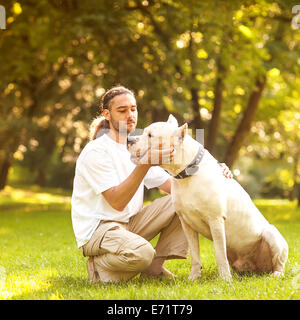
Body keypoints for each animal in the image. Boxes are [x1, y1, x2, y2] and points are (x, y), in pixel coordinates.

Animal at [128, 114, 288, 280]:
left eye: (150, 135)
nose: (129, 140)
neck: (186, 174)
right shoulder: (187, 224)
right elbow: (195, 253)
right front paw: (194, 277)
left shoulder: (215, 220)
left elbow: (219, 253)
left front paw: (225, 279)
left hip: (272, 235)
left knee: (279, 263)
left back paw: (275, 274)